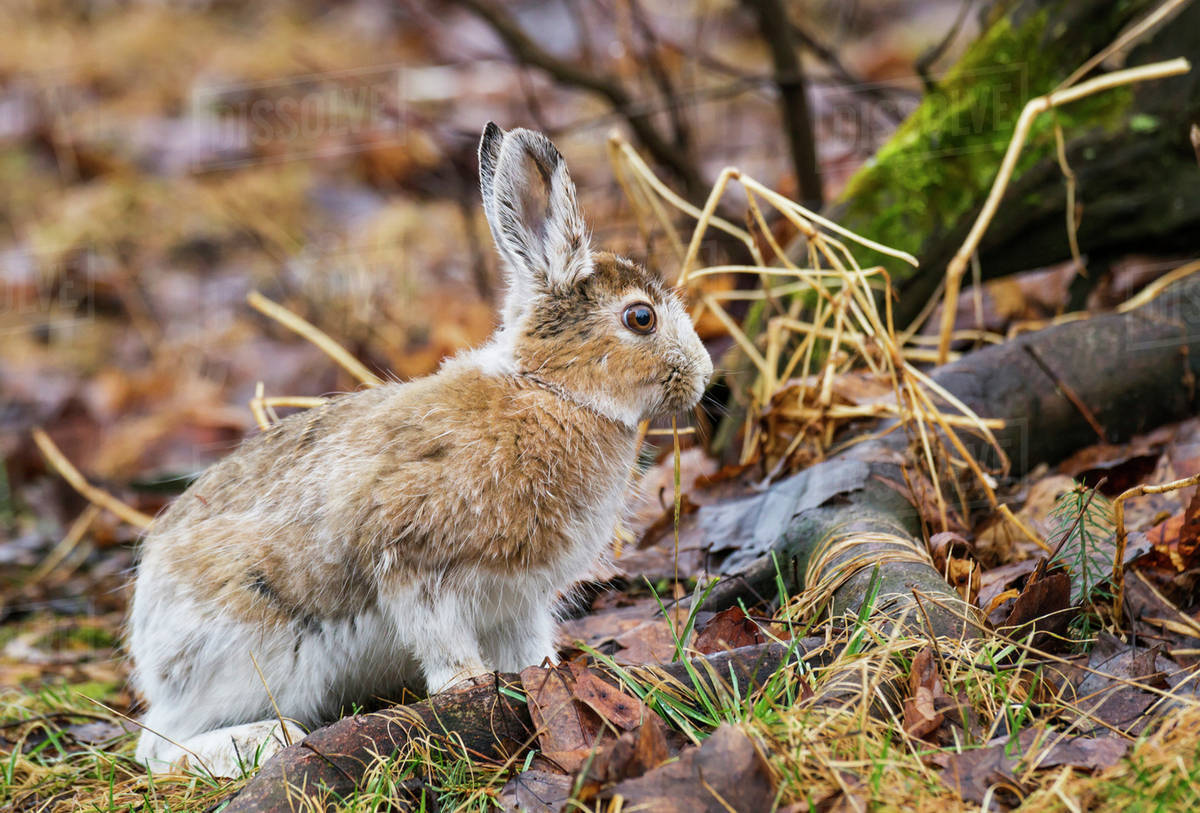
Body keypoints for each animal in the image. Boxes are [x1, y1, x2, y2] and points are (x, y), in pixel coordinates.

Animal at [128, 122, 713, 776]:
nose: (704, 376)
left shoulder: (518, 600)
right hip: (251, 649)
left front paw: (544, 676)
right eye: (640, 318)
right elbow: (443, 643)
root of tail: (150, 645)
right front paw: (469, 686)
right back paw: (264, 740)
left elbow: (529, 648)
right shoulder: (415, 565)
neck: (551, 390)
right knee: (156, 745)